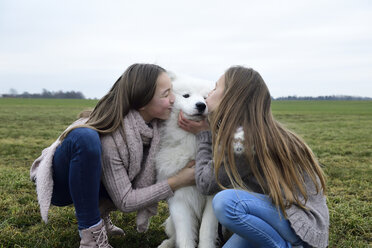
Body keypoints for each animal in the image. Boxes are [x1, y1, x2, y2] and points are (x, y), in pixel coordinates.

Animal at [155, 74, 218, 248]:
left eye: (206, 97)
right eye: (186, 96)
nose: (201, 105)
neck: (192, 141)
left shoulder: (212, 197)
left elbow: (205, 231)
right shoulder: (179, 198)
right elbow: (184, 234)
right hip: (170, 222)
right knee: (174, 234)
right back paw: (167, 243)